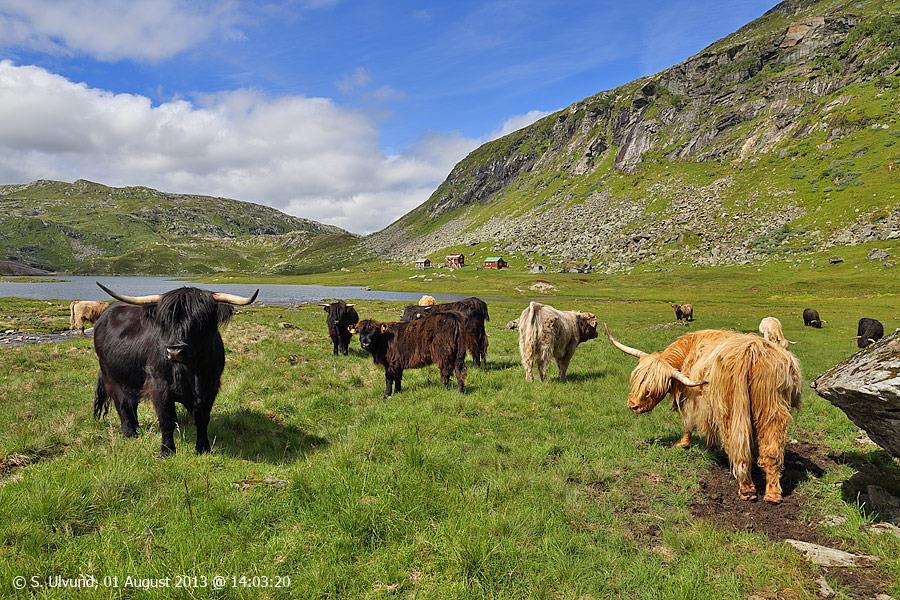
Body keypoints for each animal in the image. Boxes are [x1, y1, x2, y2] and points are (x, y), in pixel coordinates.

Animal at [92, 284, 256, 458]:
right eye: (166, 321)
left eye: (199, 320)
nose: (174, 351)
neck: (192, 371)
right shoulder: (159, 385)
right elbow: (167, 419)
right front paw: (167, 450)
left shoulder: (210, 386)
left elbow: (202, 418)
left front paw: (203, 448)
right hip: (111, 377)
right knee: (122, 403)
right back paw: (129, 432)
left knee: (131, 402)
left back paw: (136, 426)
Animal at [604, 326, 800, 504]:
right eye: (636, 380)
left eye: (651, 389)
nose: (632, 405)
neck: (688, 351)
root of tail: (753, 348)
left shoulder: (691, 399)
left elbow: (688, 422)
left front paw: (683, 444)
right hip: (771, 407)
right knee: (771, 448)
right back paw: (772, 494)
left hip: (732, 408)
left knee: (737, 446)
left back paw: (746, 489)